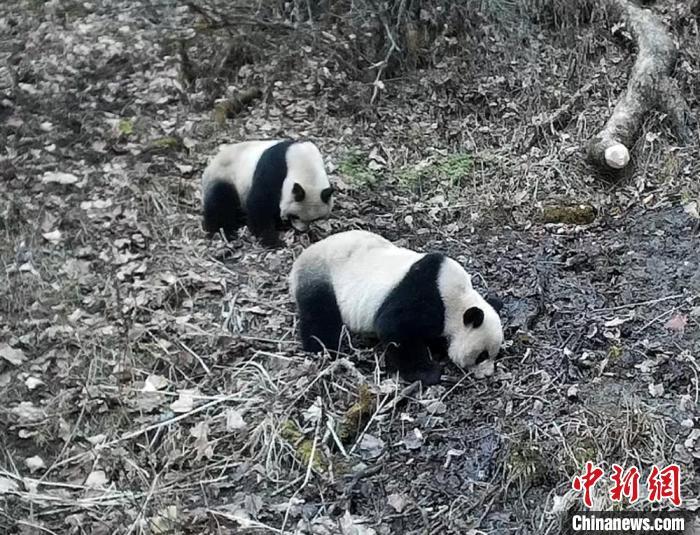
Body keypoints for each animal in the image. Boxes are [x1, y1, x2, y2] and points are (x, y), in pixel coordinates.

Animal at [201, 139, 334, 246]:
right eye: (295, 216)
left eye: (315, 219)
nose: (301, 230)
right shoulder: (274, 167)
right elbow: (260, 203)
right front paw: (272, 240)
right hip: (224, 176)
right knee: (220, 203)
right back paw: (222, 232)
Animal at [290, 230, 504, 386]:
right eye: (482, 356)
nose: (488, 374)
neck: (457, 298)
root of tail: (300, 260)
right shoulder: (424, 296)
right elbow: (395, 328)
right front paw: (428, 373)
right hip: (321, 278)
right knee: (319, 315)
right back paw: (322, 349)